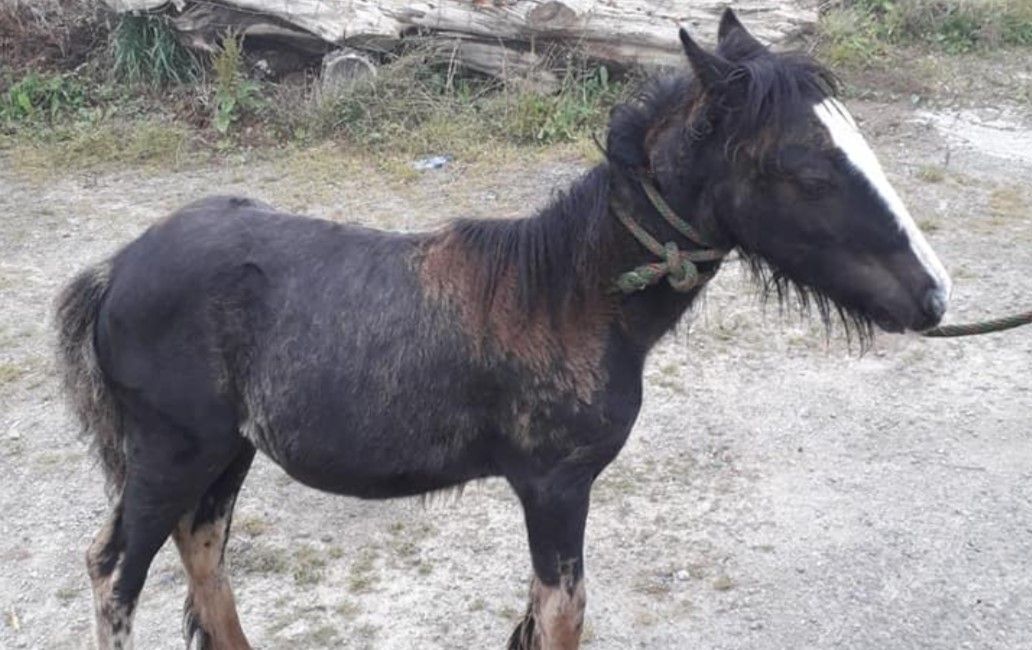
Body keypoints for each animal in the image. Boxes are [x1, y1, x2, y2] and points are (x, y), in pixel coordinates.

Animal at [55, 10, 951, 650]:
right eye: (808, 168)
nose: (934, 295)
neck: (570, 297)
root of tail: (116, 269)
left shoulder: (551, 497)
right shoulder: (555, 487)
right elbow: (562, 617)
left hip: (224, 454)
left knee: (202, 553)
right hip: (171, 454)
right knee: (114, 573)